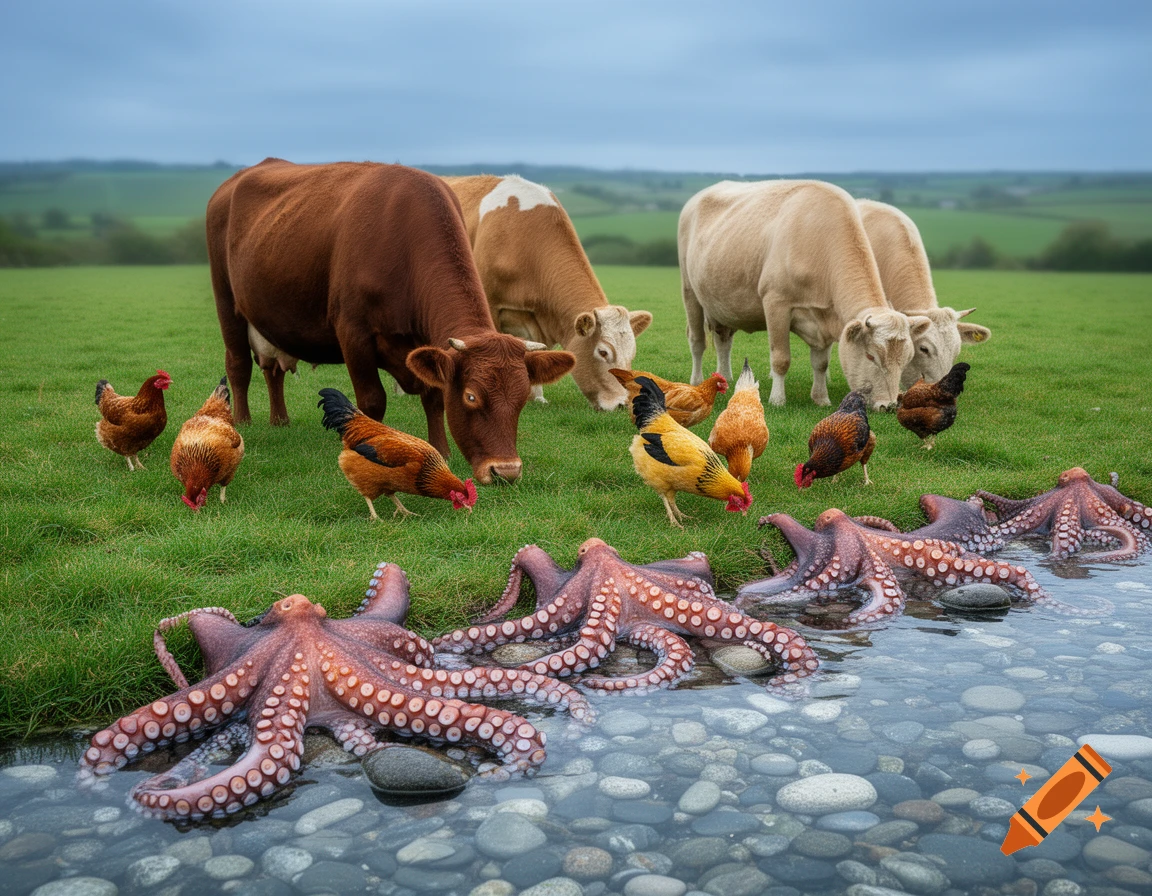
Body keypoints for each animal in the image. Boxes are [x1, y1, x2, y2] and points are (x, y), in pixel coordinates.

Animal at [206, 158, 575, 484]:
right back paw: (242, 423)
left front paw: (441, 451)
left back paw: (280, 420)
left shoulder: (424, 347)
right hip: (227, 303)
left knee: (273, 370)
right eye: (471, 397)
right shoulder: (354, 335)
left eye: (522, 398)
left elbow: (434, 397)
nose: (506, 471)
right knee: (239, 364)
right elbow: (372, 401)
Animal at [679, 180, 932, 410]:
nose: (889, 406)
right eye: (870, 356)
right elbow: (781, 359)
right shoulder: (776, 303)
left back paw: (725, 377)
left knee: (723, 341)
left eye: (907, 359)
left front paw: (821, 398)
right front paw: (777, 400)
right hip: (690, 293)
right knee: (697, 341)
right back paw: (697, 381)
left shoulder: (826, 315)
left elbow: (821, 363)